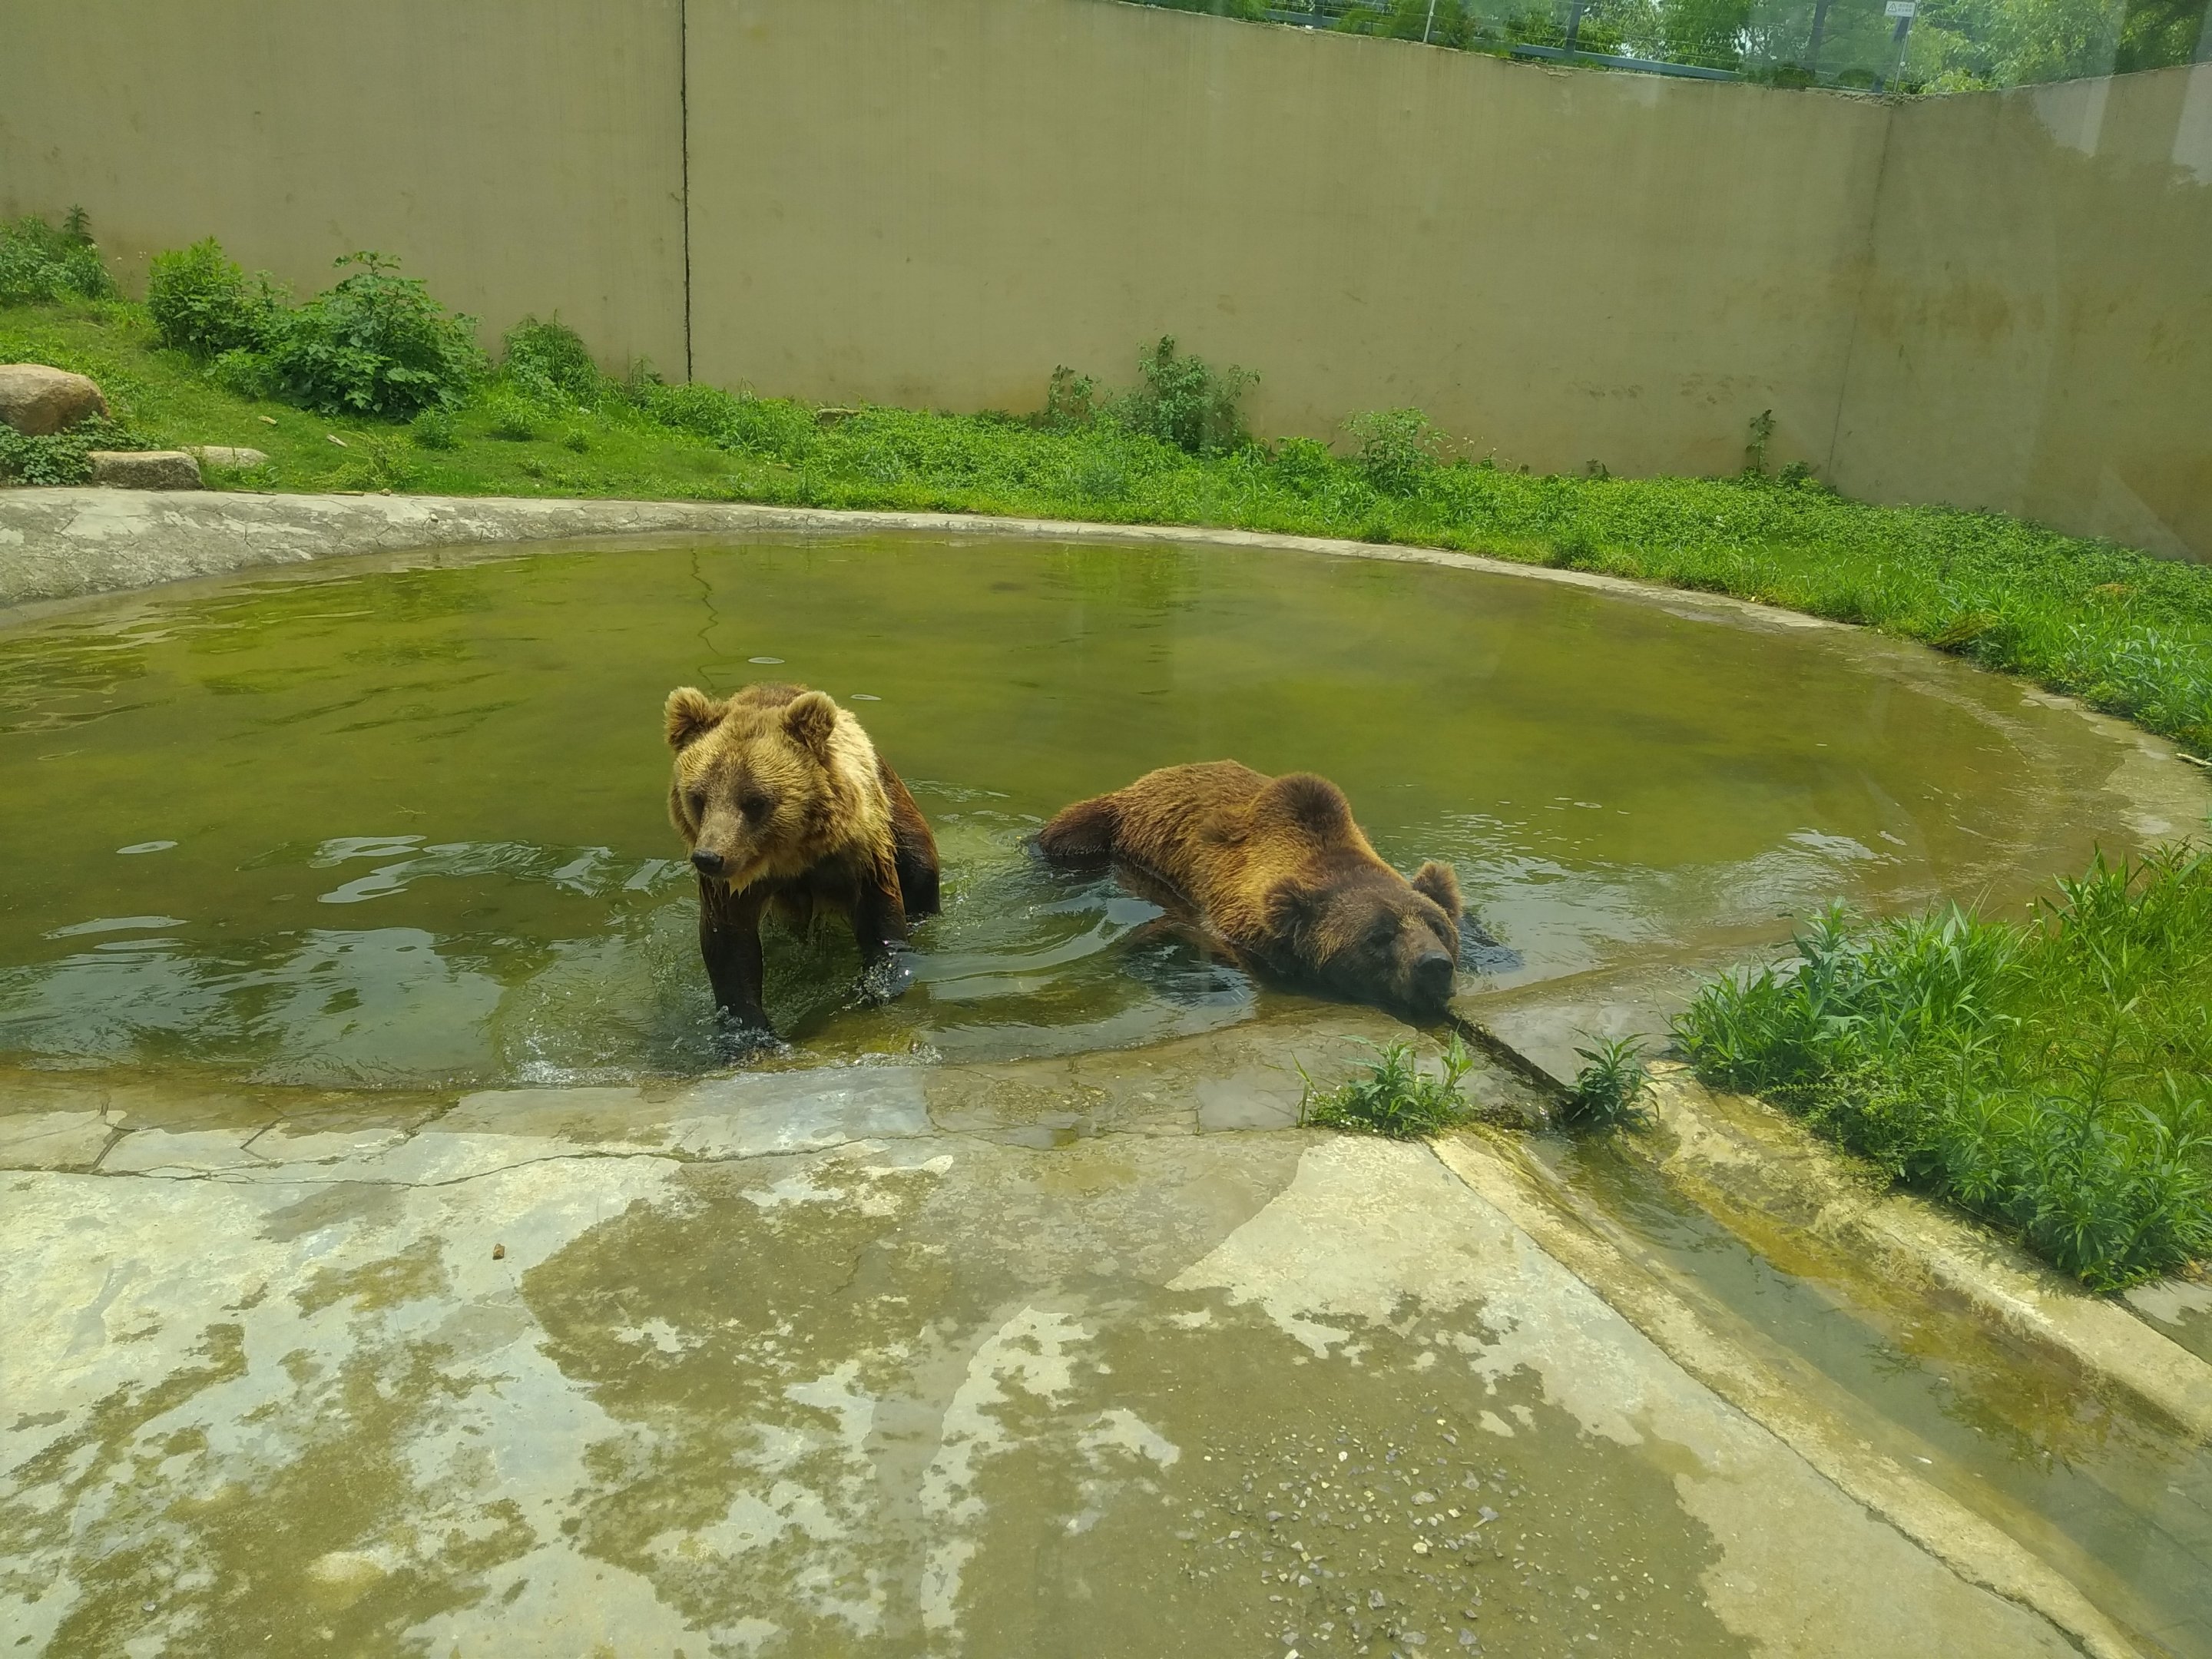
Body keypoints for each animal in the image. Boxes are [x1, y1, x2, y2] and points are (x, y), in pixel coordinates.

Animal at [664, 682, 939, 1037]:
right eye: (698, 797)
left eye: (755, 801)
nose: (709, 858)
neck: (791, 854)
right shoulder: (733, 882)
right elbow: (728, 944)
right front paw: (750, 1030)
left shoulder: (858, 853)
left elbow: (881, 917)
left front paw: (877, 985)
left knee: (919, 871)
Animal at [1037, 761, 1467, 1018]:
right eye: (1378, 936)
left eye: (1439, 928)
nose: (1434, 965)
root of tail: (1148, 777)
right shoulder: (1219, 915)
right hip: (1102, 830)